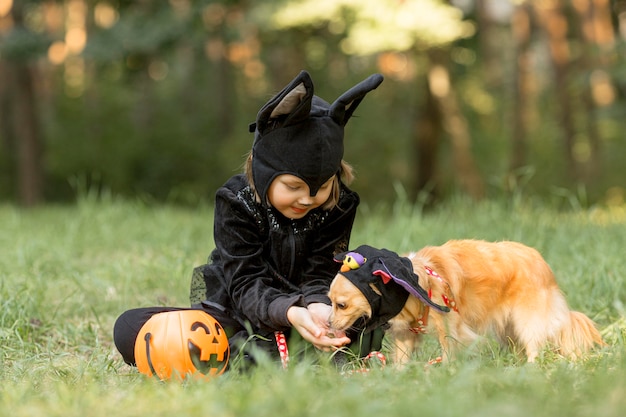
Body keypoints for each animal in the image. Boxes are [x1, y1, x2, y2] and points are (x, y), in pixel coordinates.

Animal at [330, 240, 604, 364]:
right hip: (508, 327)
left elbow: (448, 350)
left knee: (534, 345)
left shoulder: (450, 328)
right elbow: (401, 359)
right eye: (330, 302)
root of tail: (543, 264)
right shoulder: (406, 335)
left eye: (341, 305)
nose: (329, 325)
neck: (415, 285)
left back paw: (531, 369)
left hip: (527, 320)